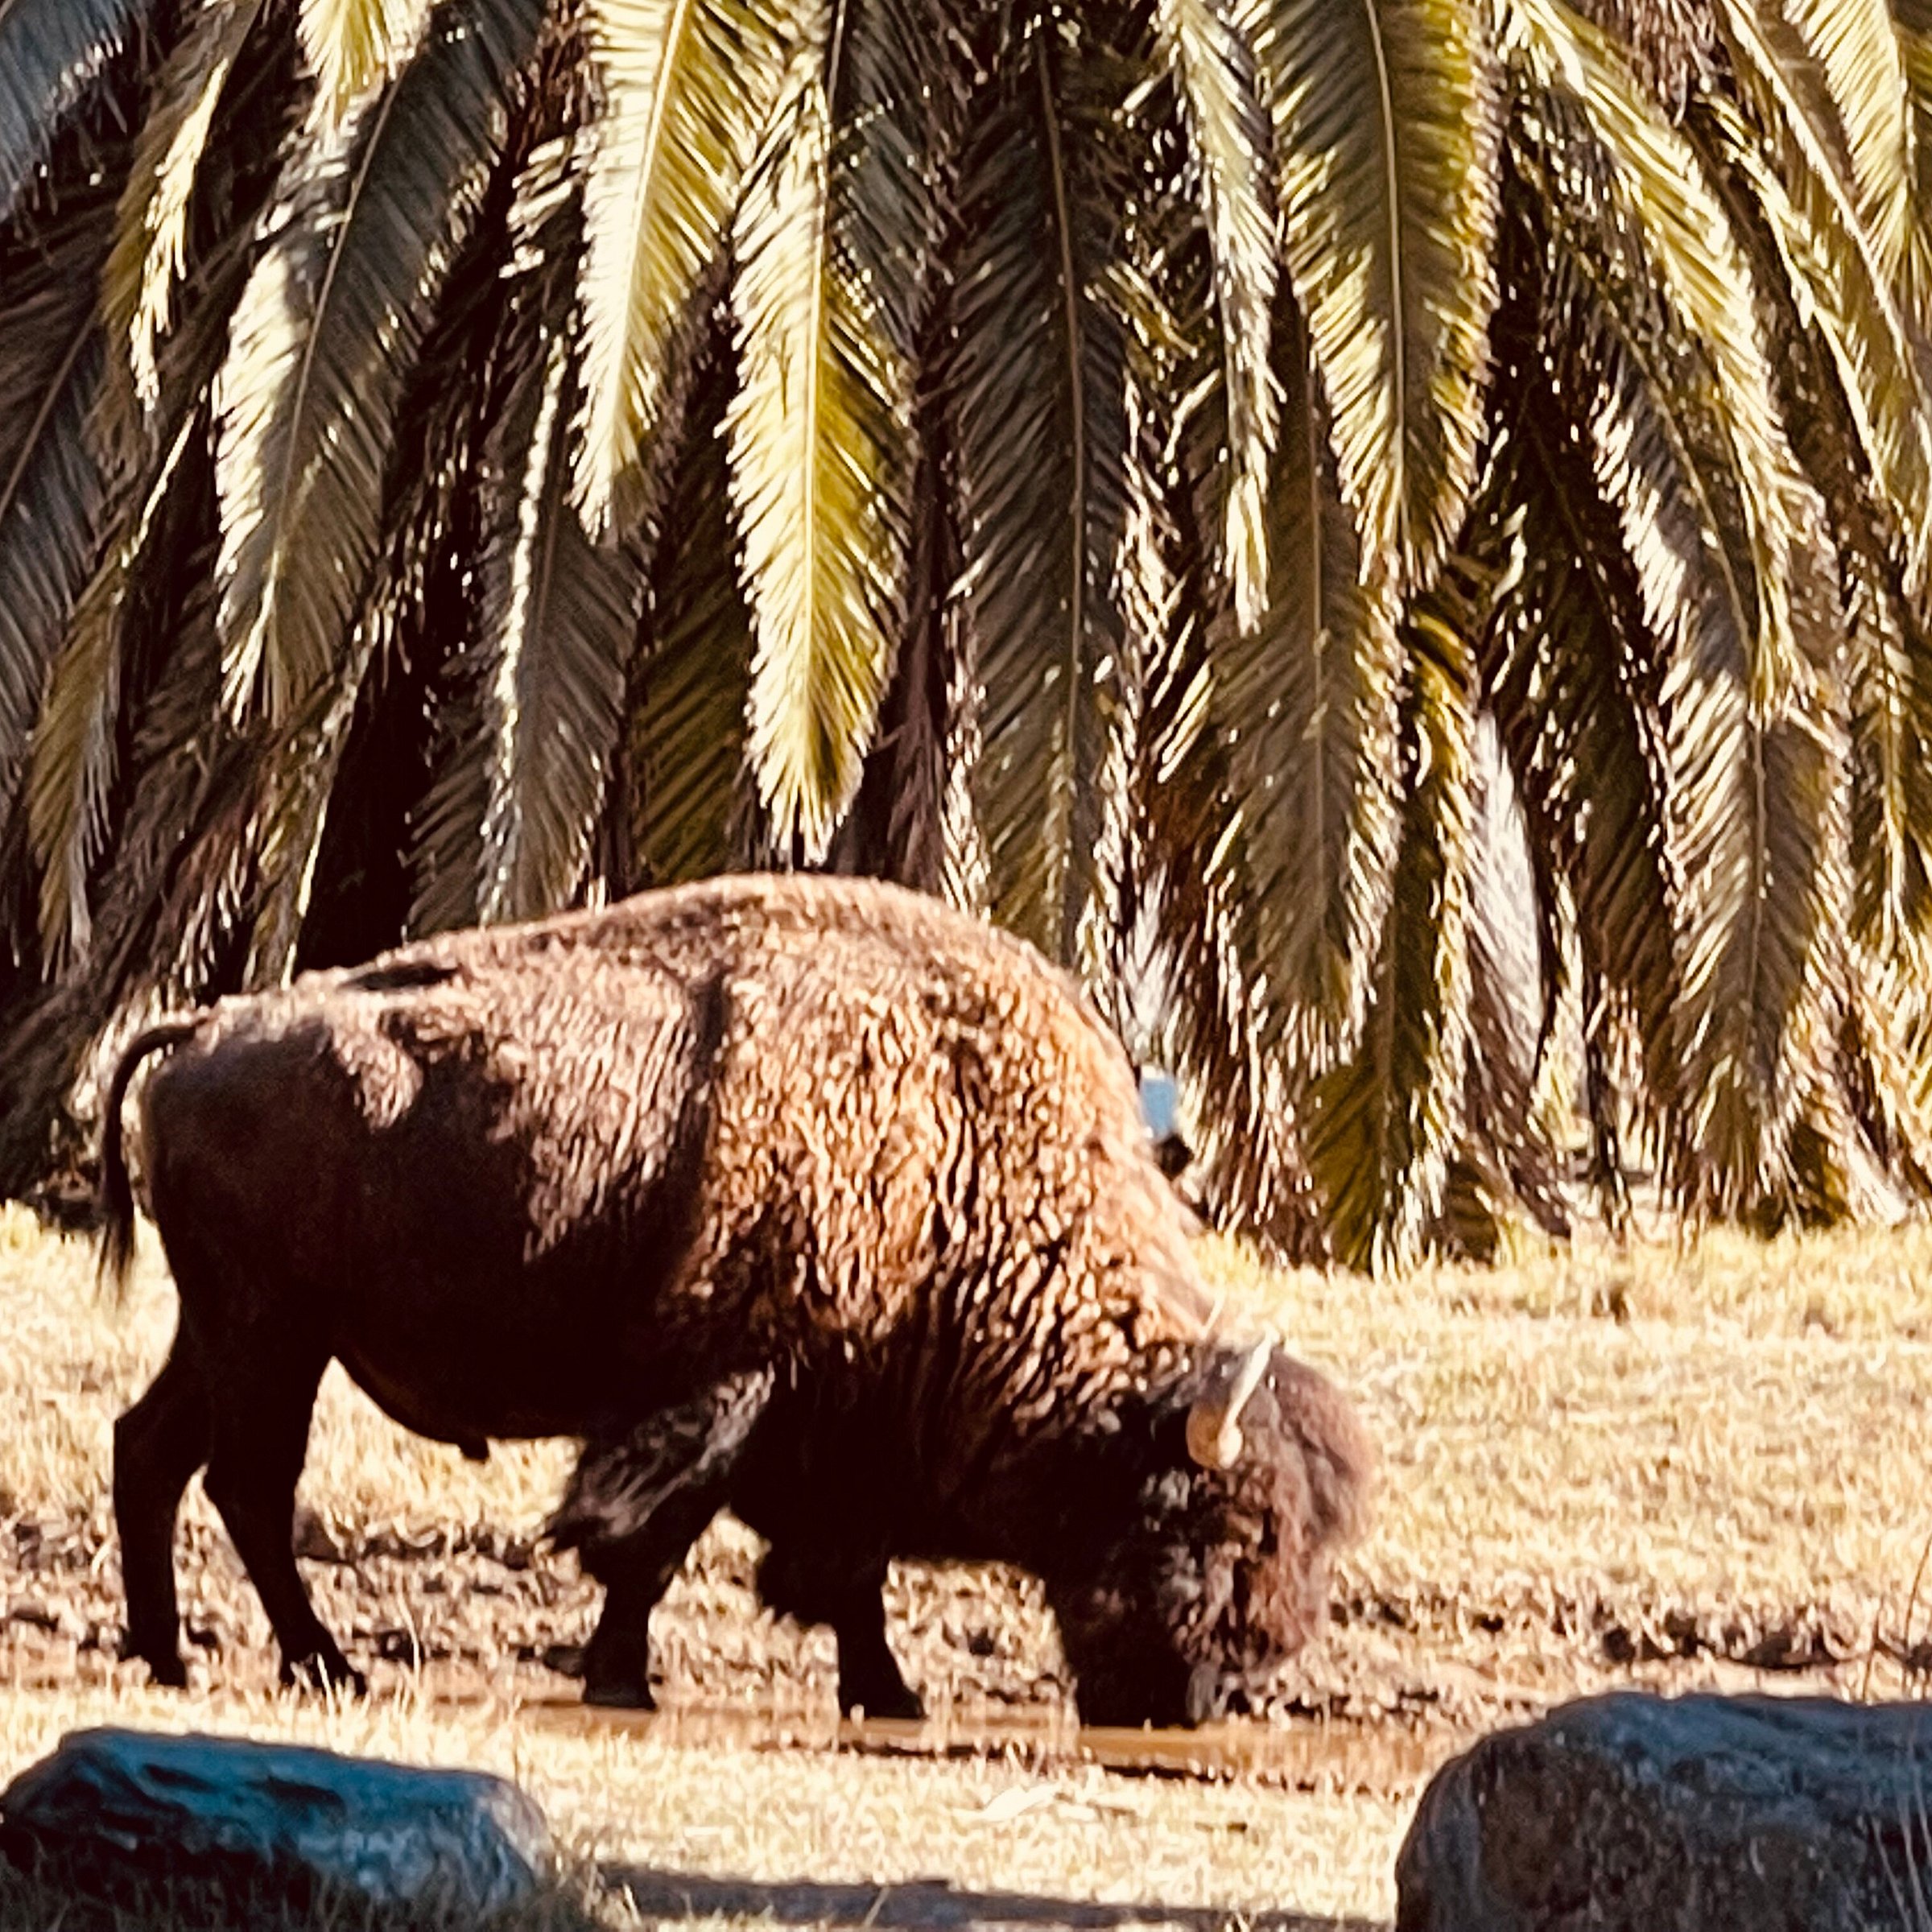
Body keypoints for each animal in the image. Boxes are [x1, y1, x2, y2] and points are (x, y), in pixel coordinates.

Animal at [101, 877, 1375, 1723]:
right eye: (1221, 1534)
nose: (1215, 1698)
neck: (960, 1151)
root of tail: (206, 1031)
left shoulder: (830, 1432)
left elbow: (832, 1571)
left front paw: (884, 1692)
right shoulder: (729, 1390)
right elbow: (656, 1540)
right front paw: (628, 1680)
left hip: (223, 1334)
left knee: (151, 1452)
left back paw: (167, 1656)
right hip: (272, 1337)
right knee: (248, 1486)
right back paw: (323, 1665)